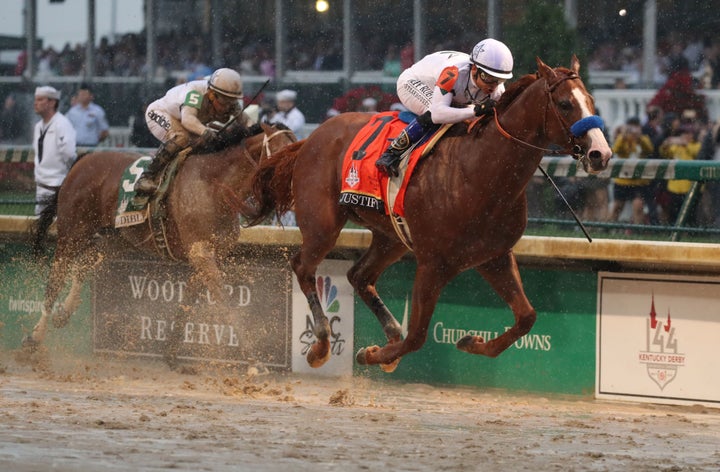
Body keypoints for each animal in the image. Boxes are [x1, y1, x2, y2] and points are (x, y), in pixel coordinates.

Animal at [26, 121, 296, 354]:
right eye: (281, 151)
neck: (215, 185)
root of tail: (82, 161)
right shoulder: (201, 253)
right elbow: (224, 302)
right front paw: (252, 360)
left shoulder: (208, 256)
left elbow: (188, 301)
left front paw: (171, 353)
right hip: (73, 231)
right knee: (55, 278)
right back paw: (35, 336)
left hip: (119, 238)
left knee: (85, 263)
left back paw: (64, 313)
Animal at [245, 57, 612, 370]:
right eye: (564, 104)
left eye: (591, 101)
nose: (601, 154)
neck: (479, 170)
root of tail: (310, 138)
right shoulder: (433, 263)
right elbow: (418, 337)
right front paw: (373, 354)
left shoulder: (494, 256)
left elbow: (527, 317)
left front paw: (471, 342)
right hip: (323, 222)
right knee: (303, 267)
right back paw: (322, 344)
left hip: (391, 237)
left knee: (359, 276)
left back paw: (389, 331)